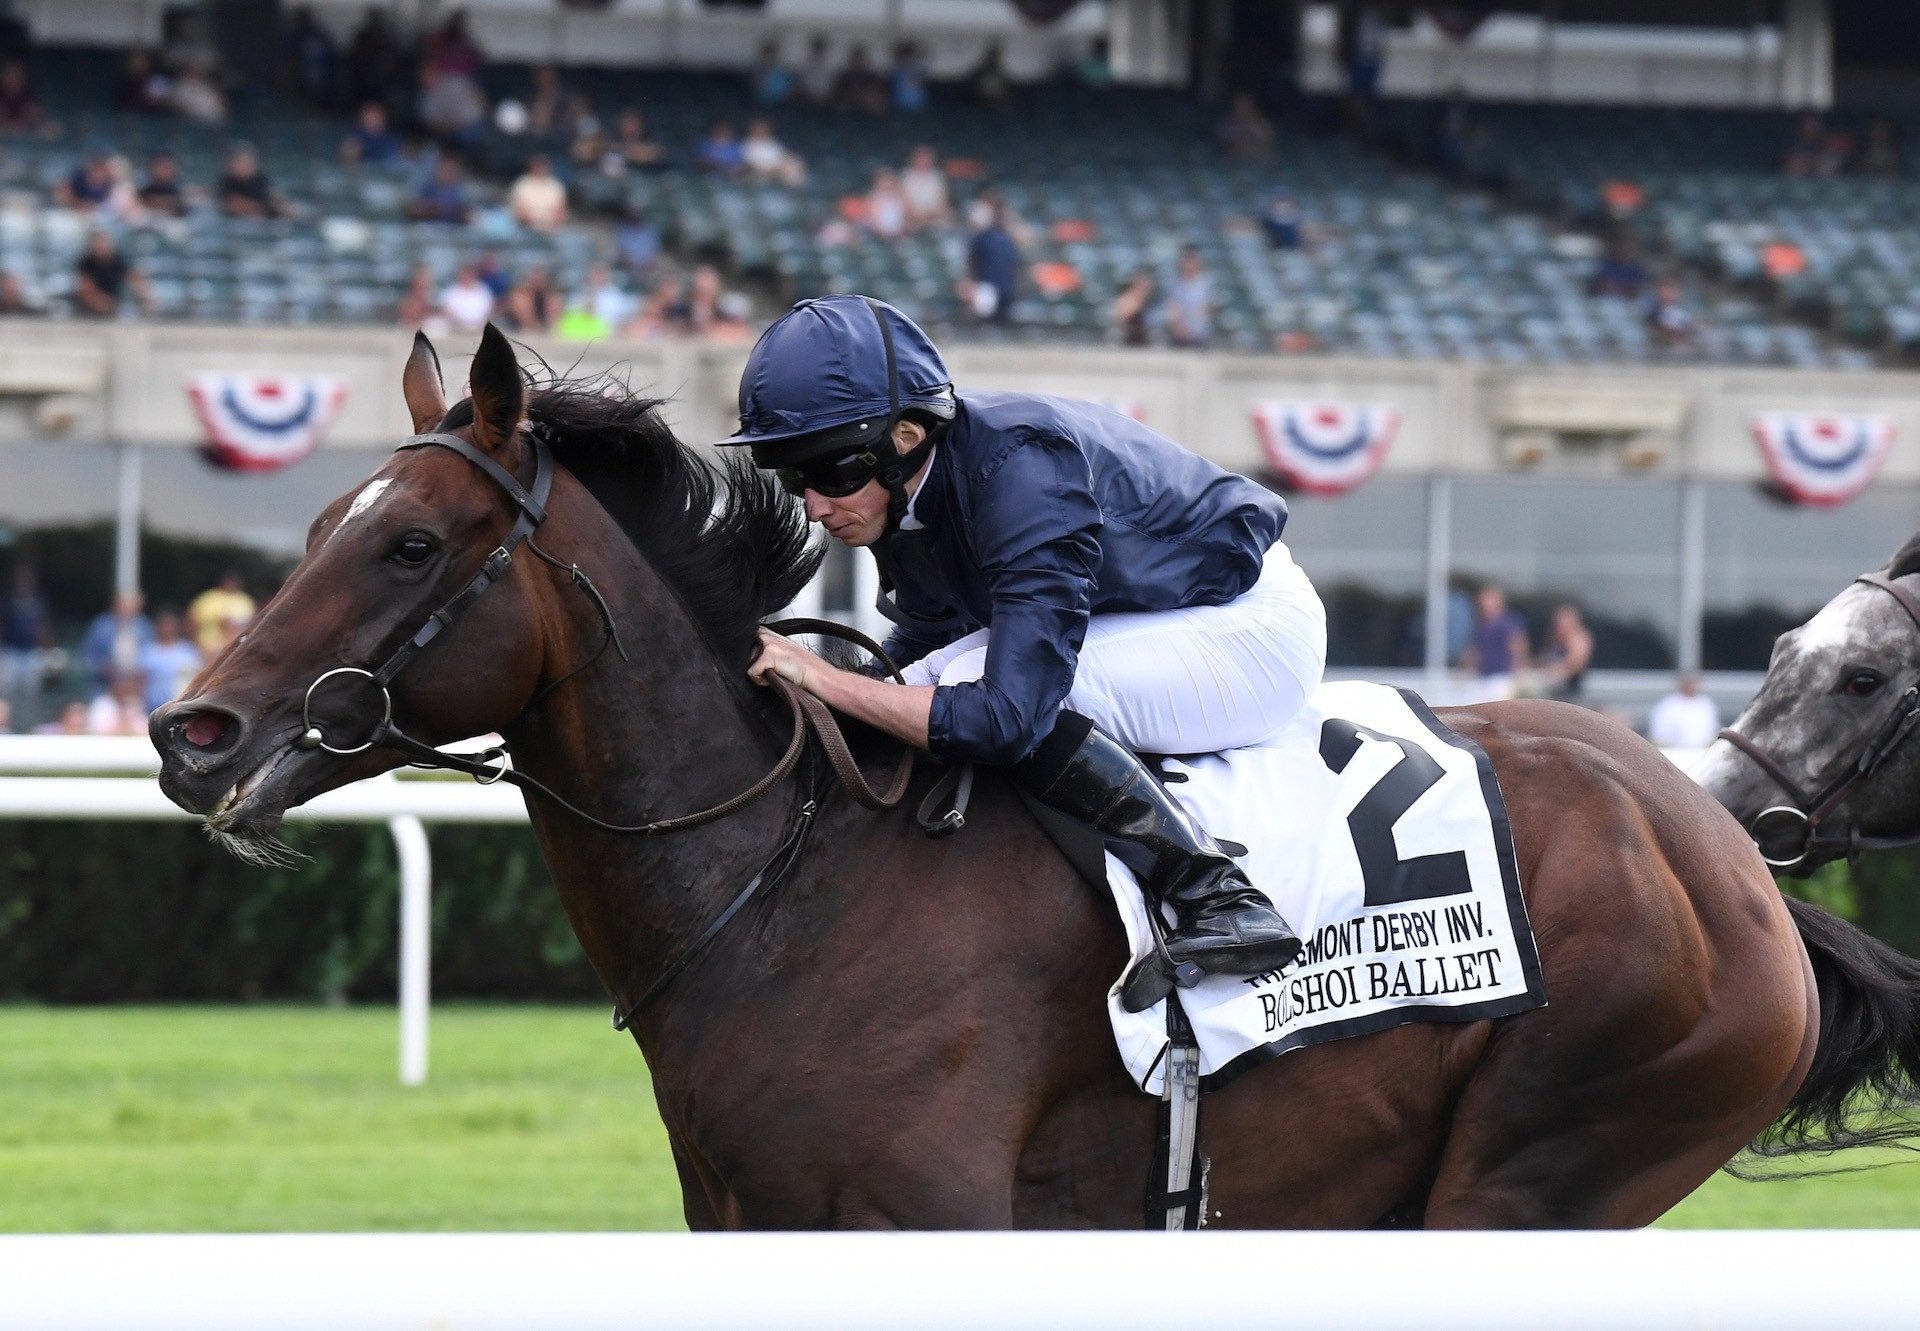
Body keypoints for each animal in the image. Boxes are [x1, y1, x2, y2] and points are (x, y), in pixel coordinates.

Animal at [149, 324, 1889, 1221]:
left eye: (407, 543)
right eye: (317, 523)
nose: (191, 732)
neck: (792, 890)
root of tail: (1722, 852)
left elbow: (1023, 687)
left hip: (1553, 1156)